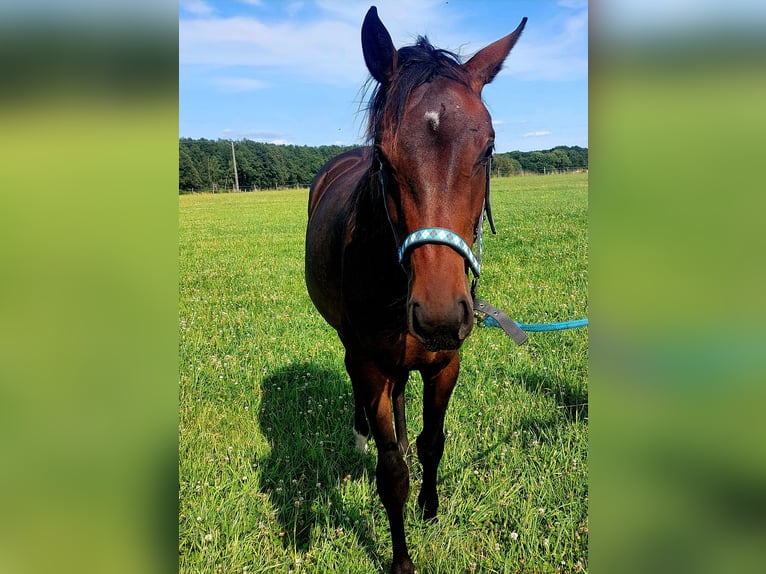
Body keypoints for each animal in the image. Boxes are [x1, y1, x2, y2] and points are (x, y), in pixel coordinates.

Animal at [306, 5, 528, 574]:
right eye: (383, 158)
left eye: (488, 148)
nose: (440, 316)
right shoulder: (370, 363)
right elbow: (391, 475)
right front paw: (402, 559)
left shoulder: (445, 362)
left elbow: (432, 443)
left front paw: (429, 507)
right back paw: (361, 434)